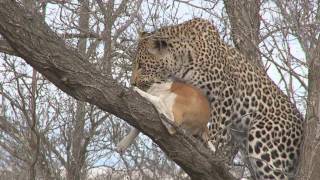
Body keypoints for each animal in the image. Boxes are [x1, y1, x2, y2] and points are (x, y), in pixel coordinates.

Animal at [131, 18, 304, 180]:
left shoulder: (224, 93)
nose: (132, 82)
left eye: (141, 66)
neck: (182, 62)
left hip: (262, 142)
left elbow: (216, 128)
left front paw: (210, 152)